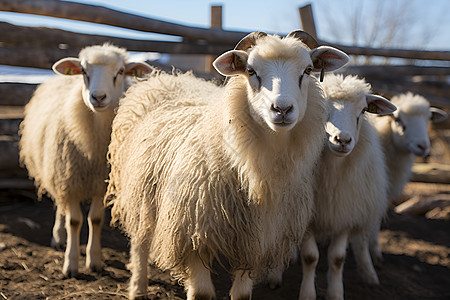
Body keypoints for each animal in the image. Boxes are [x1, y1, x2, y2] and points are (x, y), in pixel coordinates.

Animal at [18, 44, 153, 276]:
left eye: (120, 71)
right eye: (83, 71)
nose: (98, 97)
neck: (93, 150)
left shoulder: (101, 184)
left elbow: (95, 220)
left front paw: (94, 260)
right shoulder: (69, 181)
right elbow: (74, 221)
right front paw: (71, 264)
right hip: (56, 170)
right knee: (60, 206)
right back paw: (59, 237)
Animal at [104, 31, 348, 300]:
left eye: (307, 70)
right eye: (251, 71)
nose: (282, 109)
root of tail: (165, 77)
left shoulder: (254, 241)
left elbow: (241, 294)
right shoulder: (192, 234)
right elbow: (201, 293)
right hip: (137, 191)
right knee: (139, 241)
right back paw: (138, 287)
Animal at [298, 73, 398, 300]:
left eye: (362, 111)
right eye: (321, 106)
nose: (342, 140)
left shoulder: (344, 212)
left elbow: (337, 258)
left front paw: (335, 293)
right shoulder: (307, 216)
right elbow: (310, 257)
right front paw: (307, 293)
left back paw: (370, 275)